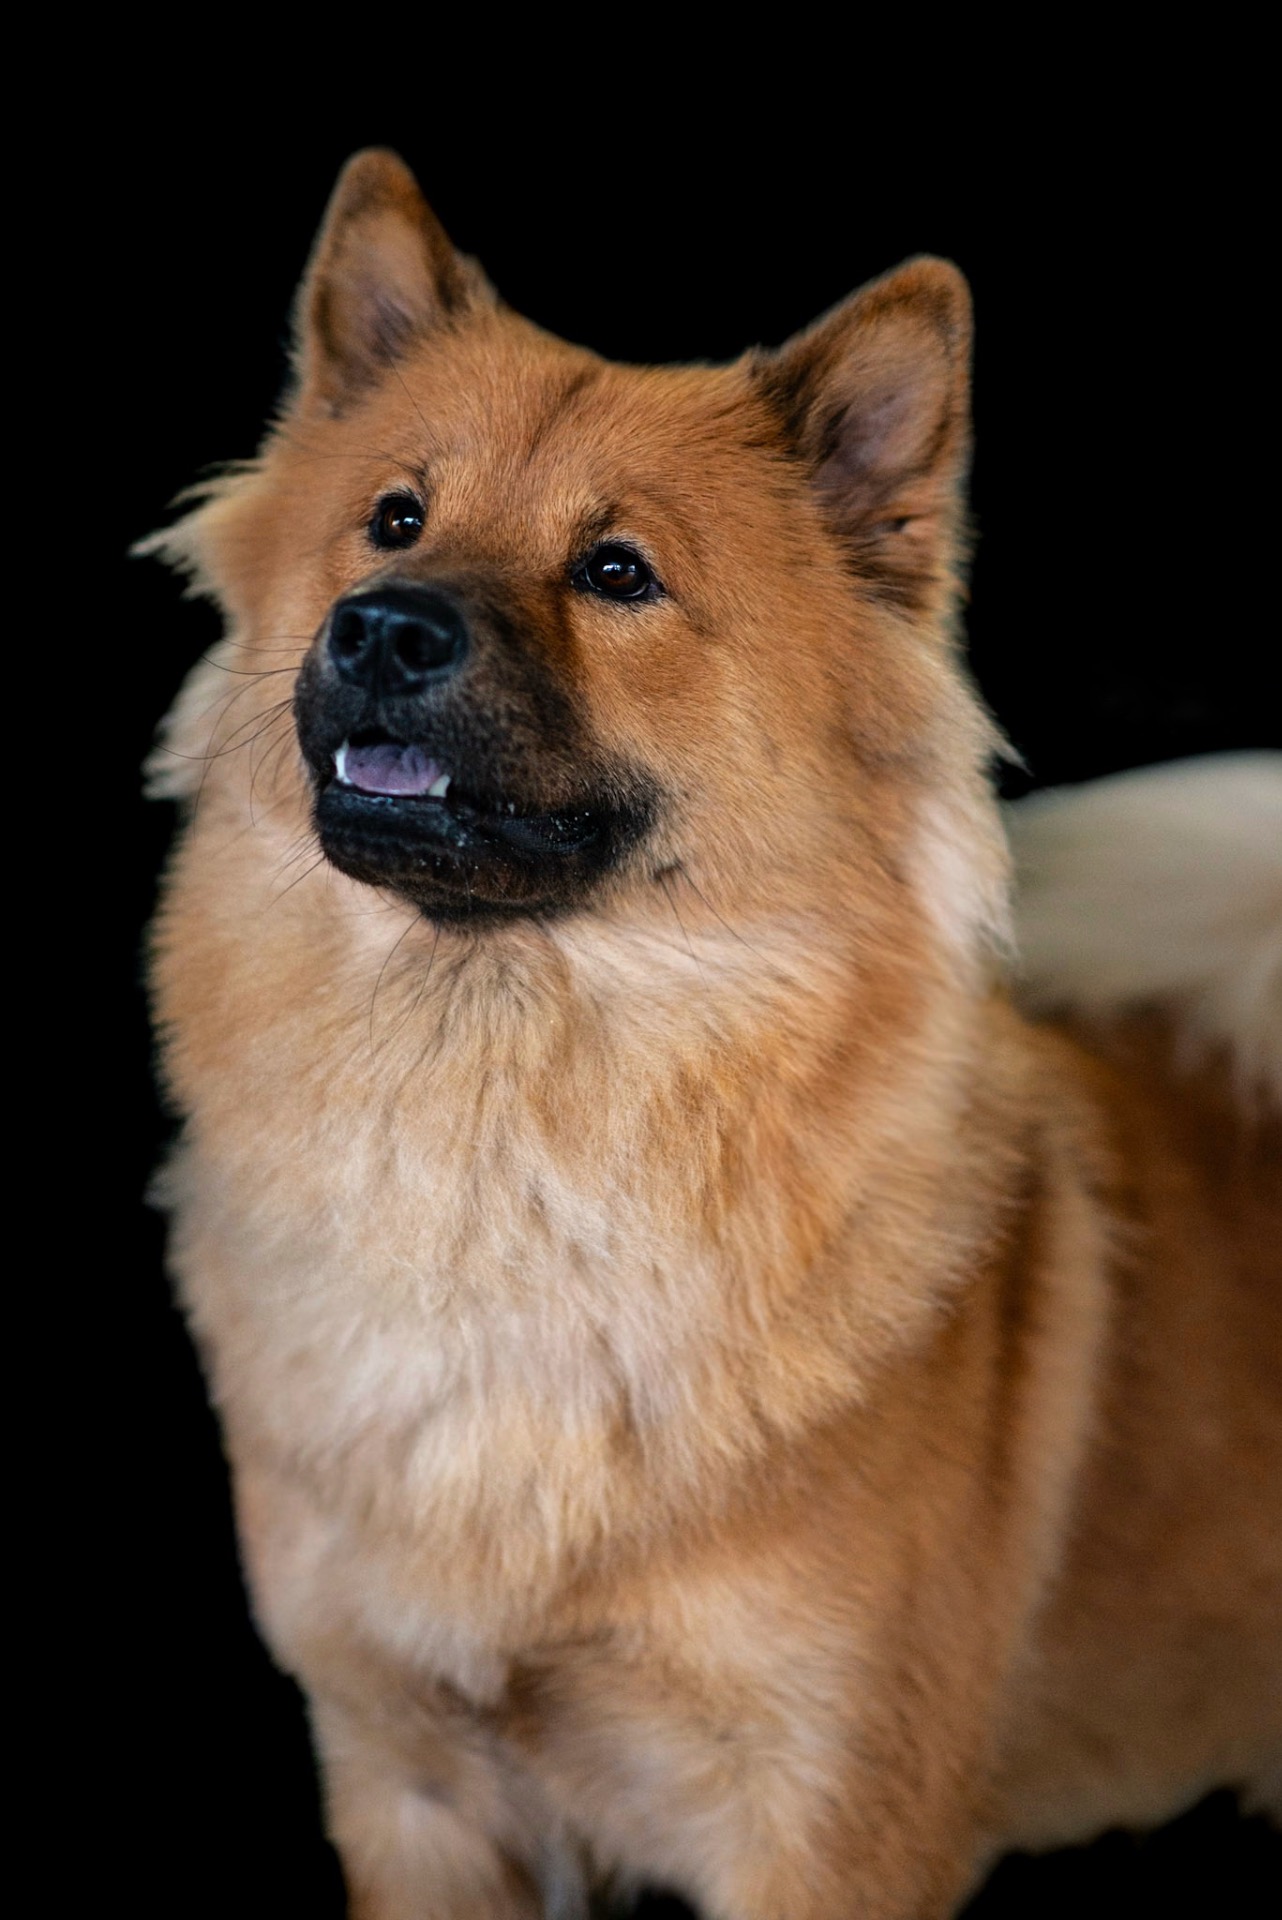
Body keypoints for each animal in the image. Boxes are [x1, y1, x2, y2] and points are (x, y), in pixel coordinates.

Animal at [145, 148, 1282, 1917]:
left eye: (618, 572)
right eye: (393, 517)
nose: (384, 625)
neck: (502, 1131)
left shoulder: (824, 1819)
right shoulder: (414, 1783)